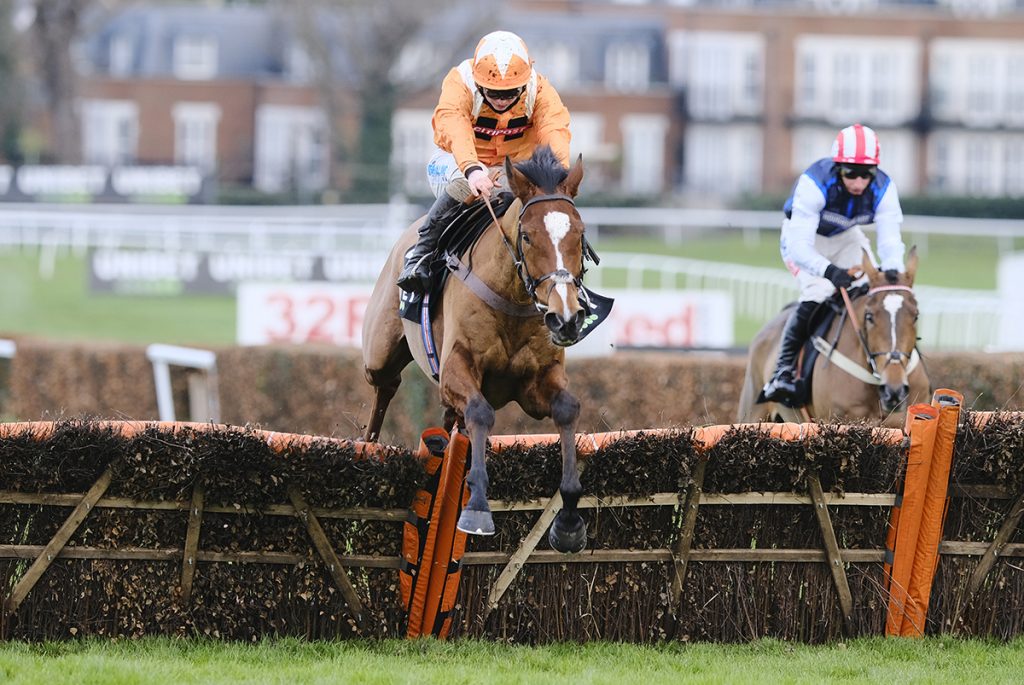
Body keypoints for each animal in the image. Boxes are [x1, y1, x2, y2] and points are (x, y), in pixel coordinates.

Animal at [360, 147, 589, 552]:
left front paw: (569, 520)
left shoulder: (536, 383)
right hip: (380, 353)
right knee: (385, 388)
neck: (510, 298)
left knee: (451, 421)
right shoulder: (457, 368)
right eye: (527, 236)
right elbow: (481, 413)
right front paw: (477, 508)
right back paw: (369, 449)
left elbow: (567, 409)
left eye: (580, 234)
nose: (566, 318)